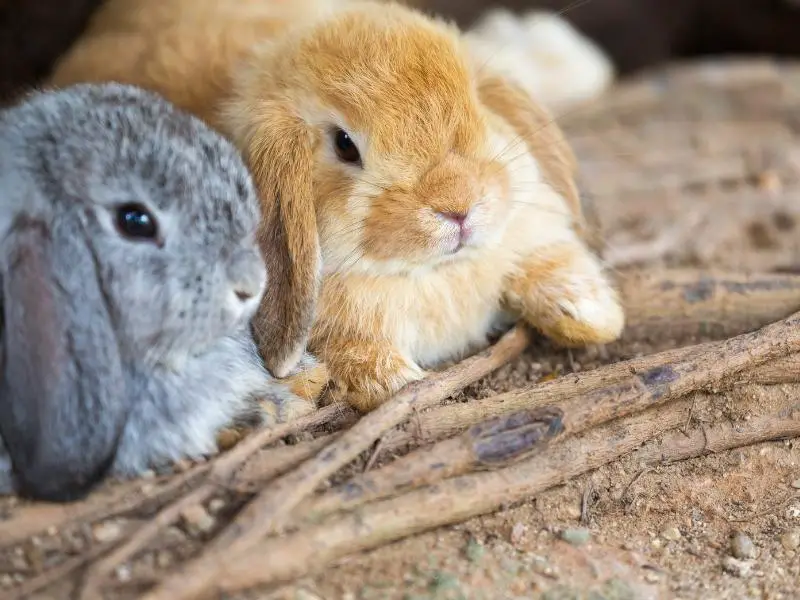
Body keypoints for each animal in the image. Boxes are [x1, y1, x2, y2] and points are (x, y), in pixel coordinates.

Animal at [50, 0, 624, 412]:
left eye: (476, 109)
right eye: (345, 145)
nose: (458, 207)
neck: (430, 273)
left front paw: (593, 311)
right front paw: (400, 382)